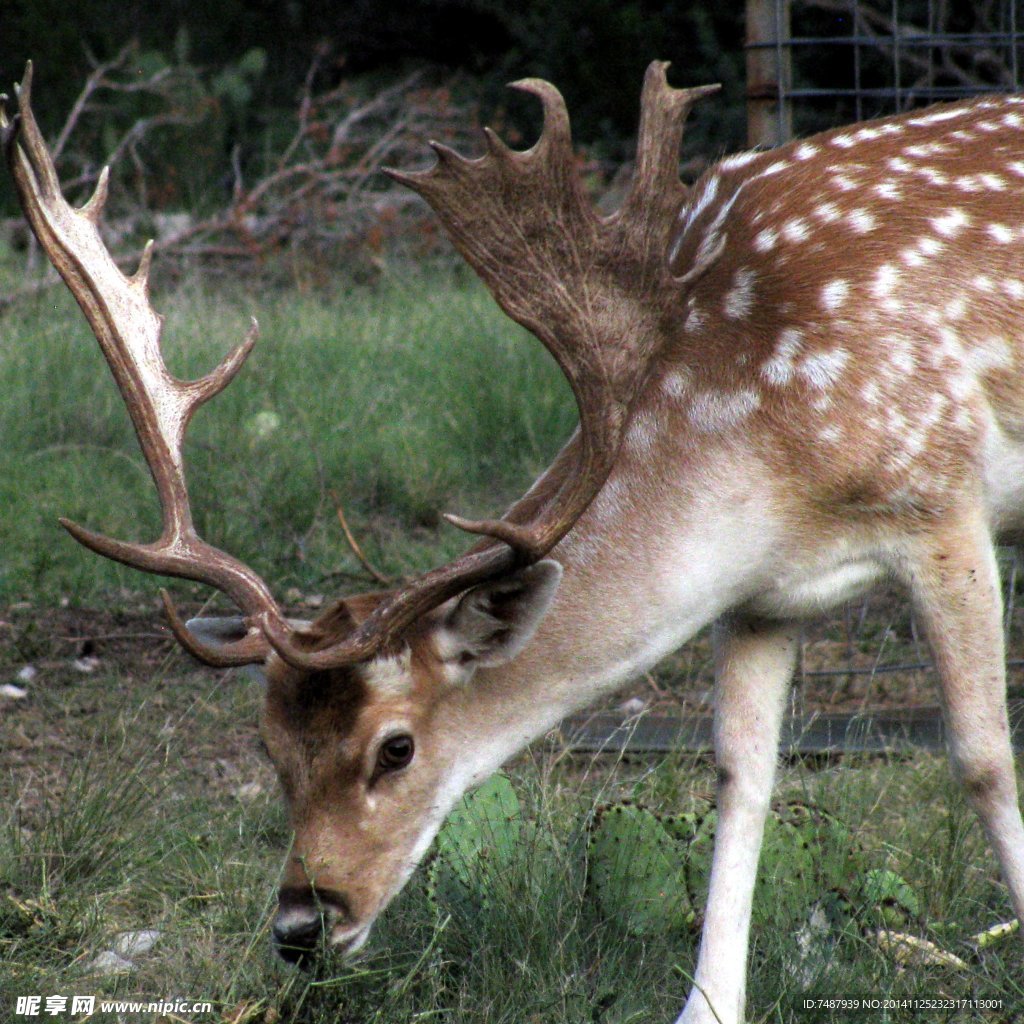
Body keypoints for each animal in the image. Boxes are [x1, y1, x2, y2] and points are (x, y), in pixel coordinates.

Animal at [4, 57, 1024, 1024]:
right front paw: (706, 1004)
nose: (301, 924)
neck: (767, 445)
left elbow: (981, 758)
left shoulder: (942, 500)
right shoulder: (764, 595)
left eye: (396, 748)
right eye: (266, 743)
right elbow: (741, 778)